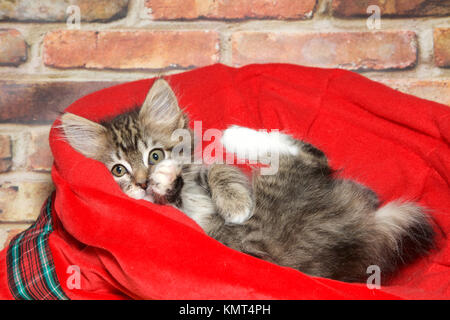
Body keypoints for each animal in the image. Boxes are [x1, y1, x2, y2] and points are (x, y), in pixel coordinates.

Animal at [60, 77, 436, 282]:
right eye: (118, 170)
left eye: (154, 154)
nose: (141, 182)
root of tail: (365, 226)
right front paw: (163, 185)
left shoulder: (199, 172)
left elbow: (218, 170)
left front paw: (233, 201)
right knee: (309, 159)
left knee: (310, 156)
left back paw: (233, 136)